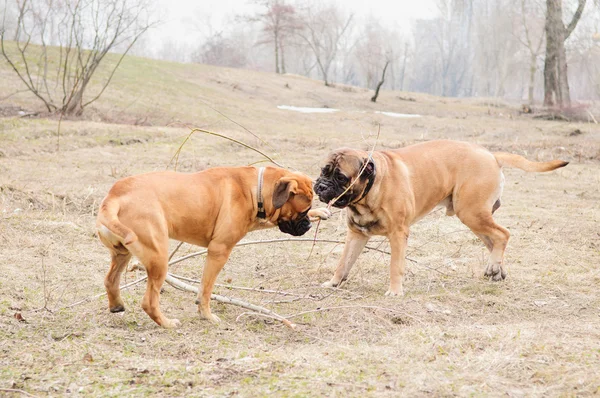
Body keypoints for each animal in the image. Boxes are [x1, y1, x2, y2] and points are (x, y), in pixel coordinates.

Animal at [96, 166, 328, 328]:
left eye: (307, 211)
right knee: (149, 302)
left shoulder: (257, 219)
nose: (307, 225)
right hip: (159, 258)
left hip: (122, 253)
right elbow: (206, 289)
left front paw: (320, 212)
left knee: (110, 280)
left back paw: (116, 305)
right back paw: (167, 323)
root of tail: (113, 197)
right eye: (300, 211)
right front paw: (206, 315)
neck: (256, 188)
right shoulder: (219, 250)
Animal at [314, 140, 568, 296]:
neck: (371, 190)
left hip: (472, 212)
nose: (321, 185)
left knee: (503, 235)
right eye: (323, 171)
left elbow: (395, 266)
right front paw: (333, 283)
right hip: (474, 217)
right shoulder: (356, 234)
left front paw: (395, 291)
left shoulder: (398, 234)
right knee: (493, 241)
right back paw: (496, 269)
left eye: (341, 177)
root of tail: (491, 155)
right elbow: (343, 263)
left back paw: (494, 266)